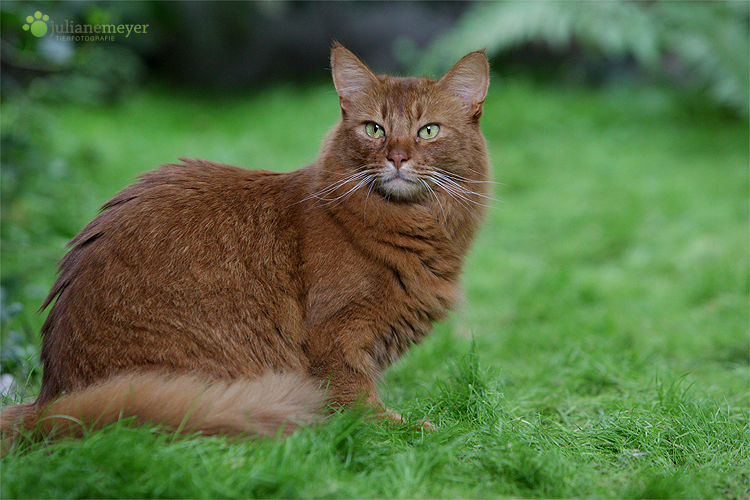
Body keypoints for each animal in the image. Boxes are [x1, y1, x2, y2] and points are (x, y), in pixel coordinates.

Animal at [1, 44, 494, 446]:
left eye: (428, 131)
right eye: (374, 129)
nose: (397, 157)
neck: (412, 225)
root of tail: (48, 406)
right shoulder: (337, 332)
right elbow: (355, 401)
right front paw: (400, 429)